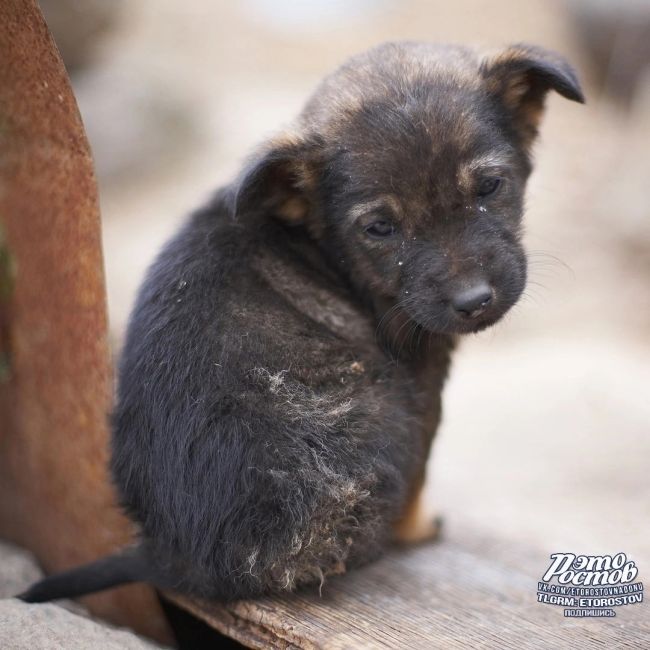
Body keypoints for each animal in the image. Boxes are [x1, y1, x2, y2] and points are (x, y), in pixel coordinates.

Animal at [19, 41, 584, 604]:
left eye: (489, 186)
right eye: (380, 228)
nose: (474, 301)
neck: (324, 248)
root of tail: (169, 554)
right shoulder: (422, 385)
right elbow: (422, 470)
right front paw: (419, 527)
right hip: (385, 415)